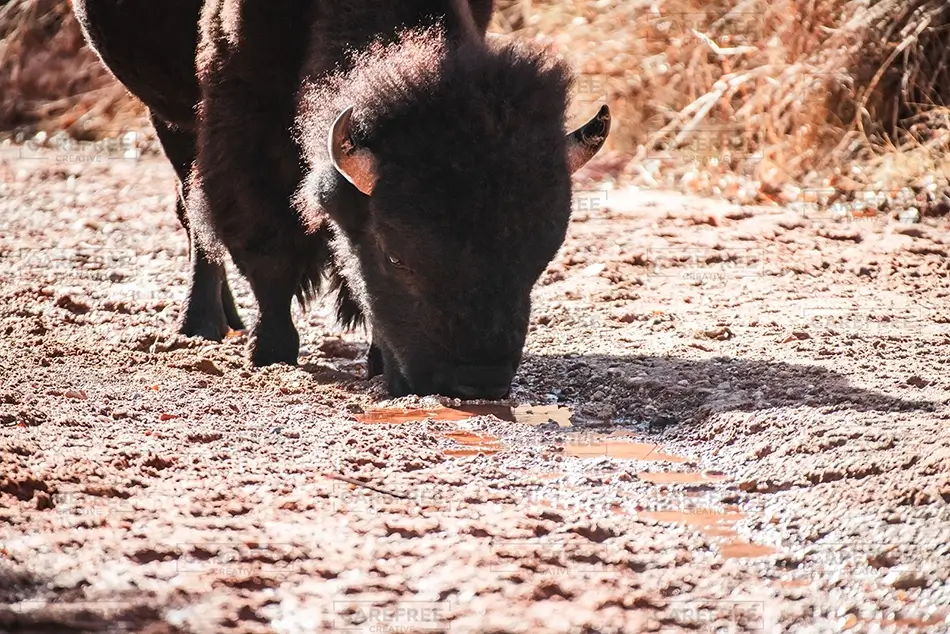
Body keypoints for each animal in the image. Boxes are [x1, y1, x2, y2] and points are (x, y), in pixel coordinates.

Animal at [74, 0, 610, 399]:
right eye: (396, 256)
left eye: (540, 257)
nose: (478, 382)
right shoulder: (244, 123)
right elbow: (266, 246)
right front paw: (271, 351)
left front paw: (374, 357)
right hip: (170, 117)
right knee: (193, 214)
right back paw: (201, 323)